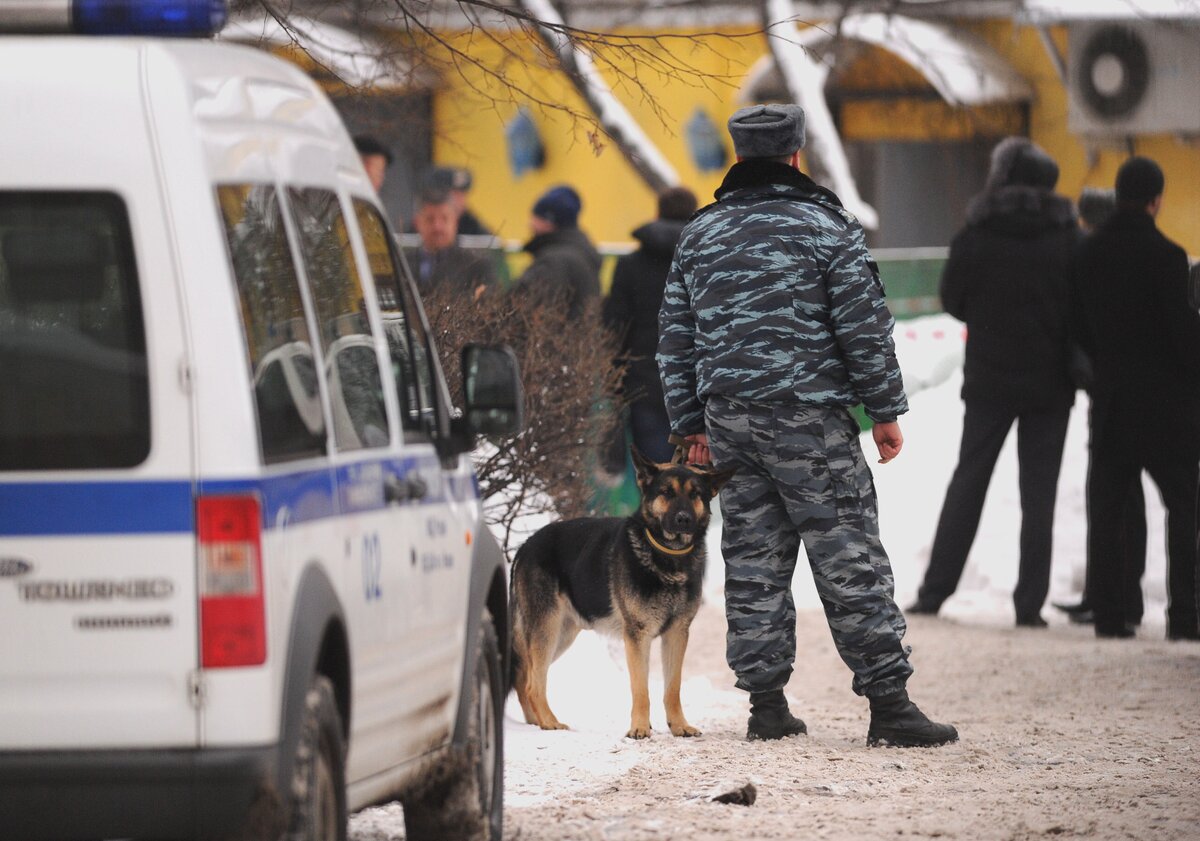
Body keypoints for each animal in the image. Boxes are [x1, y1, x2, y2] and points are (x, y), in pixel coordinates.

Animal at [506, 446, 729, 734]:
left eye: (695, 495)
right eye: (666, 492)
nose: (683, 519)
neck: (666, 556)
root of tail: (525, 546)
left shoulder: (677, 634)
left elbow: (672, 688)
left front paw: (678, 726)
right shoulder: (637, 636)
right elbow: (641, 689)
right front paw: (640, 729)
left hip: (562, 635)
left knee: (525, 679)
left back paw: (536, 723)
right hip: (547, 630)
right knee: (534, 683)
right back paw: (549, 722)